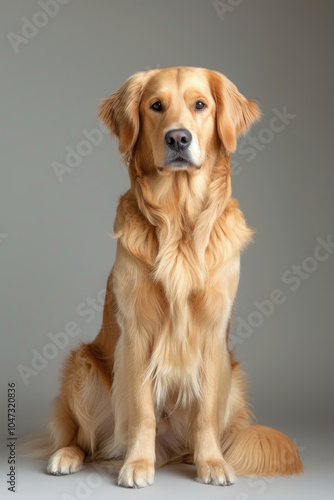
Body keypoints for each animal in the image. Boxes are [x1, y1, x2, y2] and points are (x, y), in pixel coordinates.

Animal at [32, 67, 304, 488]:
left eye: (200, 105)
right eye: (156, 105)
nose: (178, 138)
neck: (179, 216)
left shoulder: (212, 334)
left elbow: (205, 413)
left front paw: (212, 463)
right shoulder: (137, 332)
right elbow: (142, 411)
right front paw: (137, 464)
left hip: (234, 379)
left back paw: (194, 455)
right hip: (82, 366)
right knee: (84, 438)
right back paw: (69, 456)